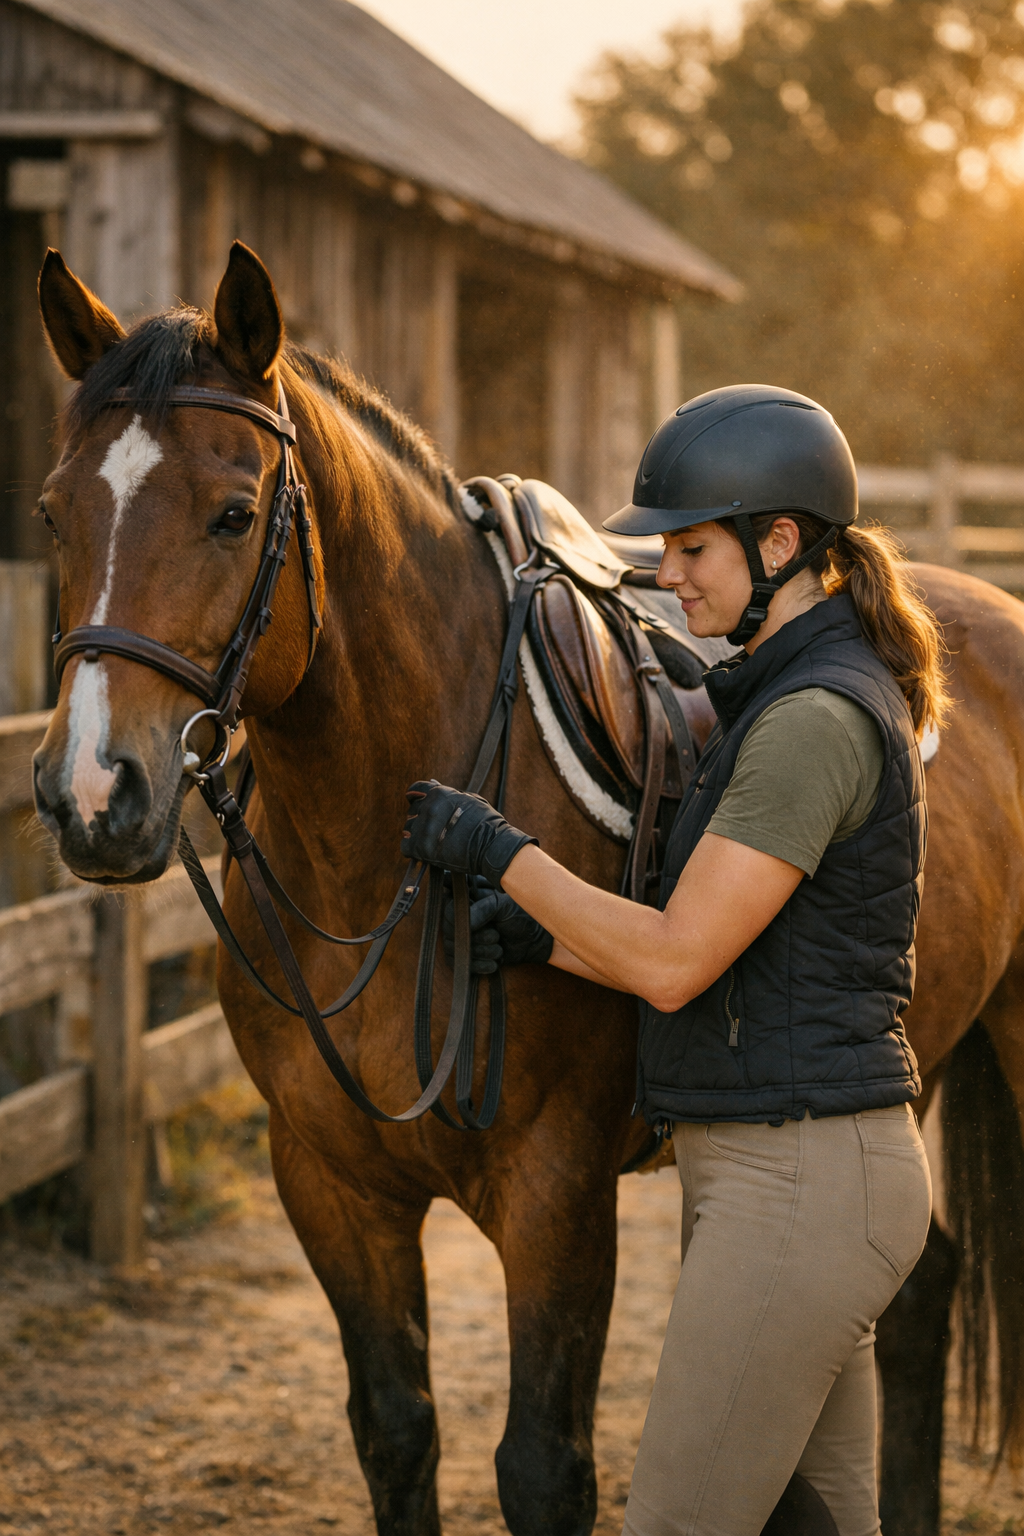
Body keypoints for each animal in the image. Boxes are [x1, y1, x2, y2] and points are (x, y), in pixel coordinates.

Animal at [28, 240, 1024, 1536]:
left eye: (233, 514)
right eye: (53, 511)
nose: (93, 794)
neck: (372, 869)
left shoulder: (555, 1193)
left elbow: (544, 1469)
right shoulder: (330, 1185)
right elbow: (397, 1434)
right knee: (912, 1300)